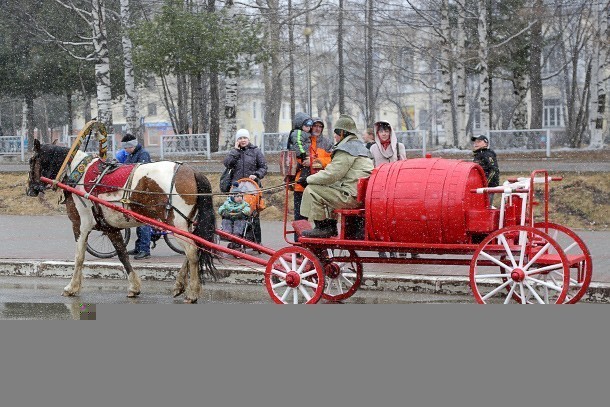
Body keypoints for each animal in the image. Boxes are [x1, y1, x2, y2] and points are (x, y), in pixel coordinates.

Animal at [26, 140, 216, 302]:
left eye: (31, 160)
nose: (29, 189)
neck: (76, 174)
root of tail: (192, 171)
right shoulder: (110, 228)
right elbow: (122, 255)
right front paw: (134, 287)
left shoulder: (80, 225)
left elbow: (79, 256)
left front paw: (72, 287)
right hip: (185, 224)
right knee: (195, 249)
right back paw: (179, 285)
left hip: (175, 223)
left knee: (192, 251)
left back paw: (192, 292)